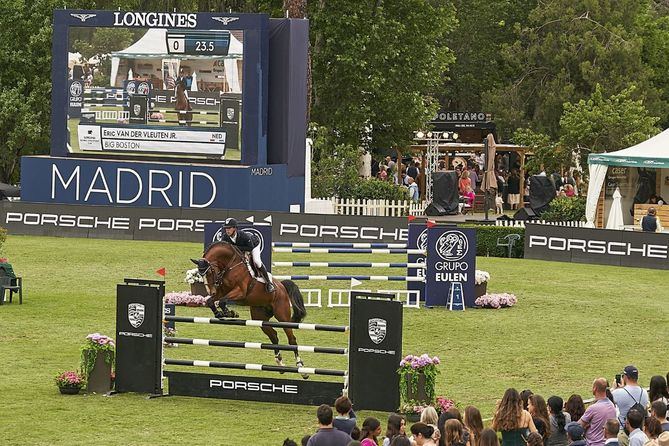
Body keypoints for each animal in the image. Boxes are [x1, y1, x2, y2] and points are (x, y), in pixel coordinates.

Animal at [189, 242, 310, 378]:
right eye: (200, 275)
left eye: (211, 272)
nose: (211, 291)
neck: (230, 265)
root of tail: (281, 286)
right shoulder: (221, 291)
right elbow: (211, 301)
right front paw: (220, 313)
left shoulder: (240, 291)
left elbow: (222, 301)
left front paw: (230, 313)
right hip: (260, 318)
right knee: (274, 336)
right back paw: (280, 363)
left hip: (282, 315)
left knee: (291, 339)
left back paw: (301, 368)